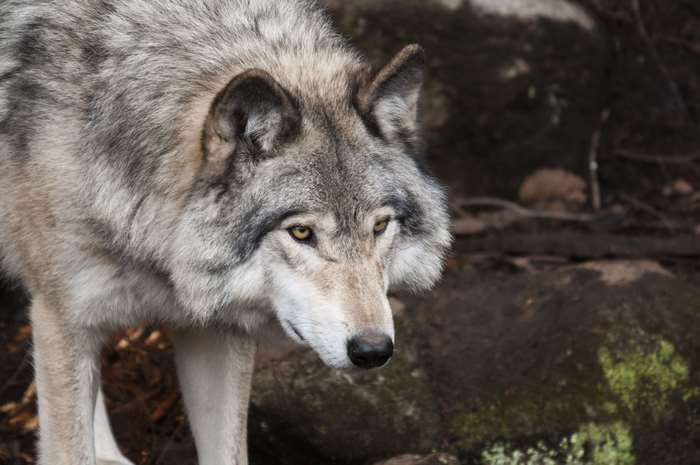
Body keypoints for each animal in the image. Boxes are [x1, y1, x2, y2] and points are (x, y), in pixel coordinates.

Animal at [0, 0, 451, 464]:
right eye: (301, 232)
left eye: (379, 226)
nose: (373, 350)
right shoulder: (62, 319)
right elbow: (68, 446)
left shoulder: (217, 331)